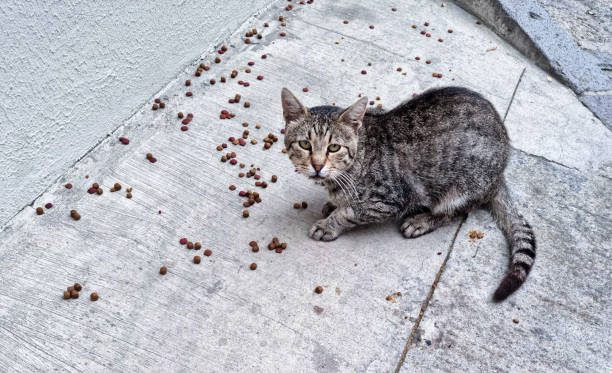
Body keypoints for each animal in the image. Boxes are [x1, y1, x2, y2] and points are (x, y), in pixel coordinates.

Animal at [280, 85, 536, 300]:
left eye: (334, 147)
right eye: (305, 144)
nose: (317, 165)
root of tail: (501, 170)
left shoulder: (389, 201)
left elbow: (350, 212)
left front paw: (329, 223)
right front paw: (332, 203)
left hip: (462, 187)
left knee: (455, 212)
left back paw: (421, 220)